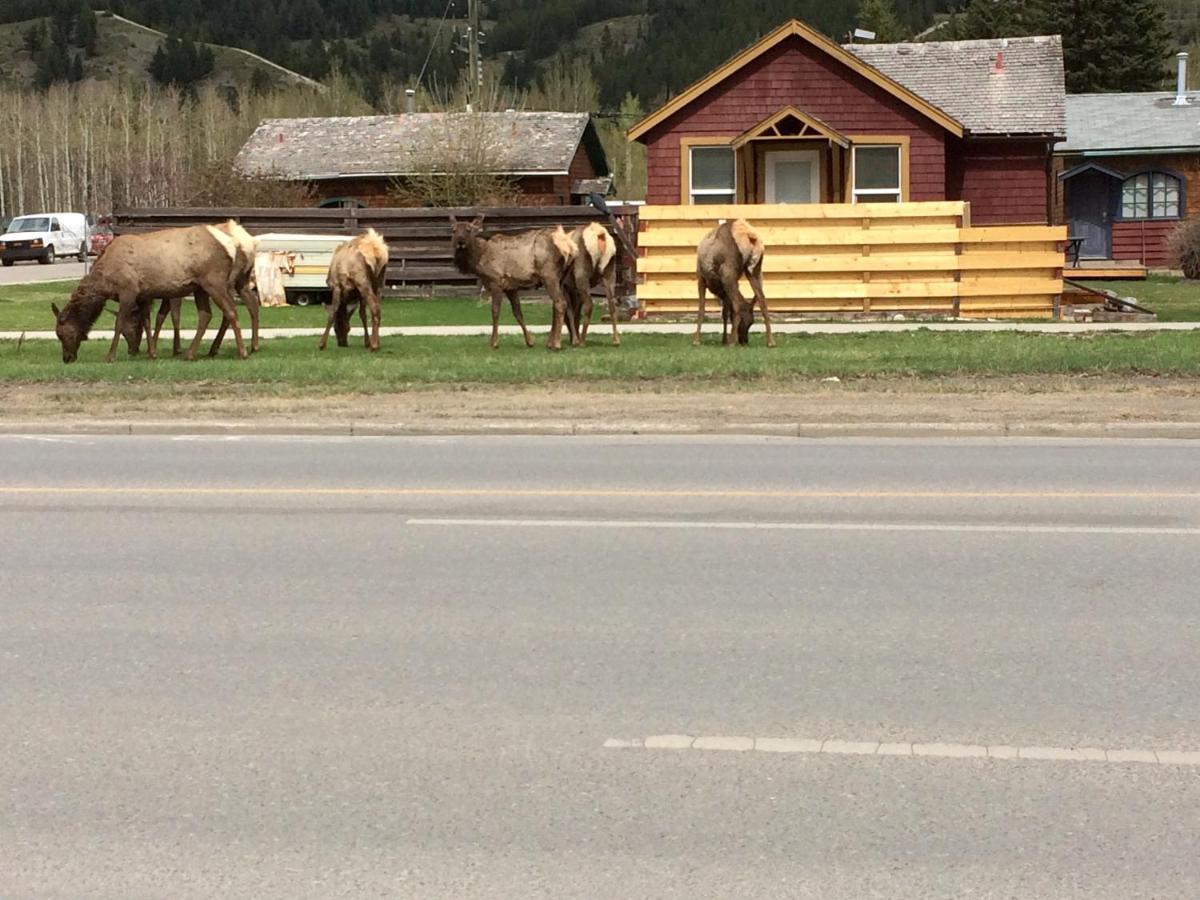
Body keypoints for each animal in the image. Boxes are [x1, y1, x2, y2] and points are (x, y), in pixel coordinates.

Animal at [52, 225, 248, 367]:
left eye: (61, 334)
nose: (67, 358)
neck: (104, 283)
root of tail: (231, 247)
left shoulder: (128, 291)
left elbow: (119, 323)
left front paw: (110, 356)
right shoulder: (143, 295)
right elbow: (147, 322)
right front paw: (152, 354)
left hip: (213, 281)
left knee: (231, 311)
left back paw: (242, 353)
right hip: (199, 287)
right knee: (206, 315)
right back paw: (190, 354)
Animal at [451, 213, 578, 348]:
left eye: (468, 230)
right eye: (453, 230)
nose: (460, 241)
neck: (479, 259)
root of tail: (570, 248)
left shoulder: (496, 281)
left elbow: (495, 311)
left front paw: (493, 342)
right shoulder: (511, 287)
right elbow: (518, 313)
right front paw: (530, 341)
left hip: (549, 274)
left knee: (560, 302)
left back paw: (557, 344)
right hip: (562, 278)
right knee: (565, 304)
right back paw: (568, 341)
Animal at [696, 218, 777, 348]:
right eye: (751, 322)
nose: (744, 341)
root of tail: (749, 236)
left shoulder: (701, 277)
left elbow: (702, 309)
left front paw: (696, 340)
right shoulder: (726, 291)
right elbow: (725, 313)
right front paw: (723, 340)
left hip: (728, 273)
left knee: (737, 305)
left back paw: (732, 342)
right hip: (754, 270)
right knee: (762, 300)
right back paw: (770, 341)